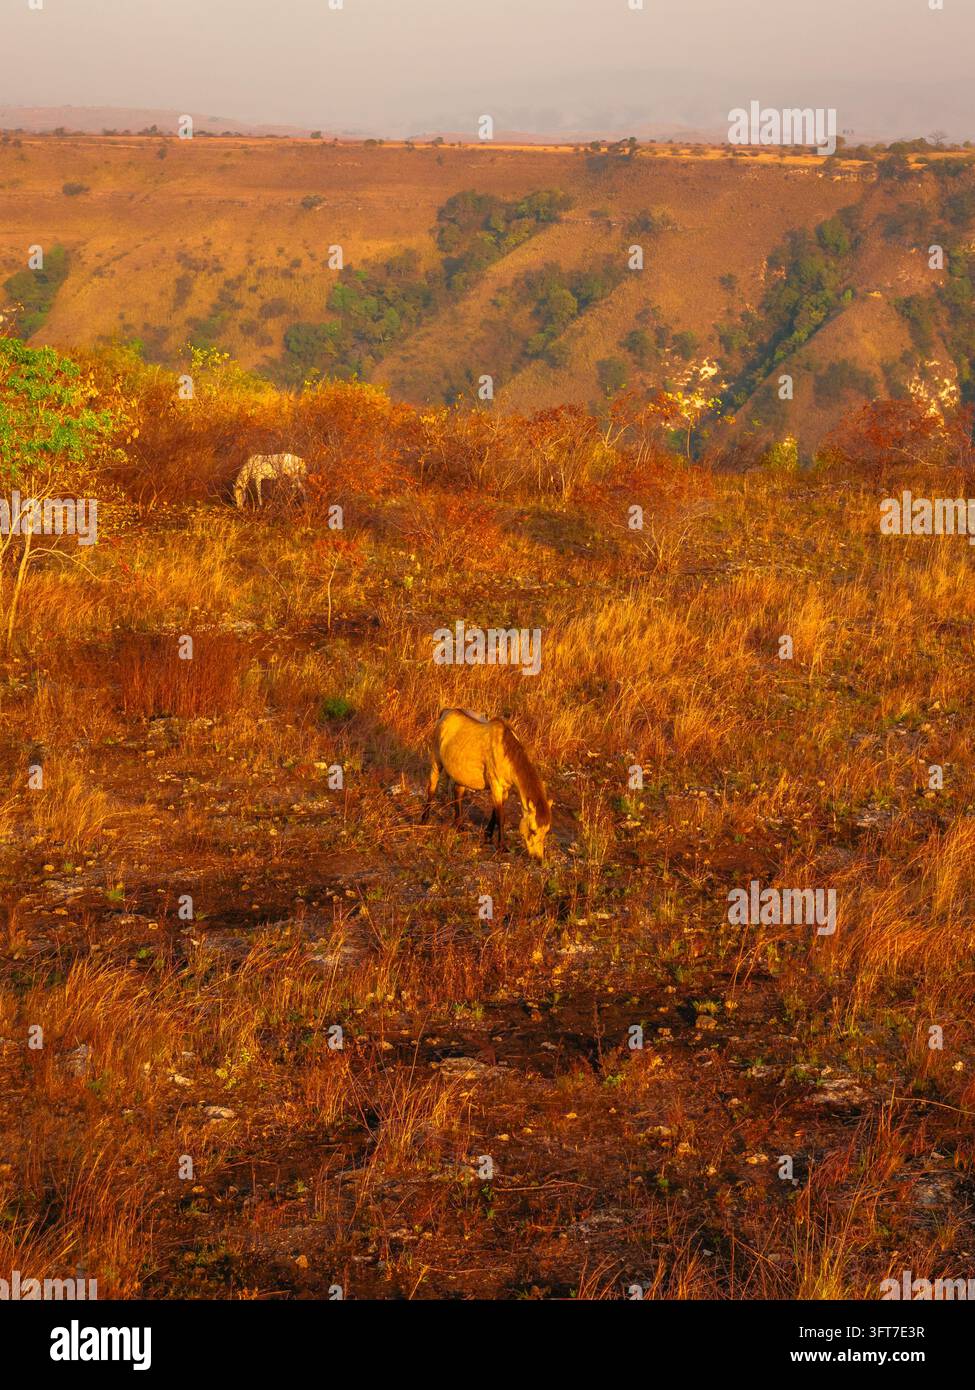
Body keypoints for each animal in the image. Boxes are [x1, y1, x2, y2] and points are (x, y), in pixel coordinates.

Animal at [420, 708, 553, 861]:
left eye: (546, 831)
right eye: (532, 830)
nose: (538, 858)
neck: (506, 752)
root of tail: (446, 712)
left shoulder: (504, 789)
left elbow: (495, 813)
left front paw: (488, 836)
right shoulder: (496, 785)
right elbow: (501, 817)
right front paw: (502, 847)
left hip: (461, 772)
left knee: (457, 792)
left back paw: (459, 825)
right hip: (436, 761)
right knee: (432, 787)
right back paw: (424, 819)